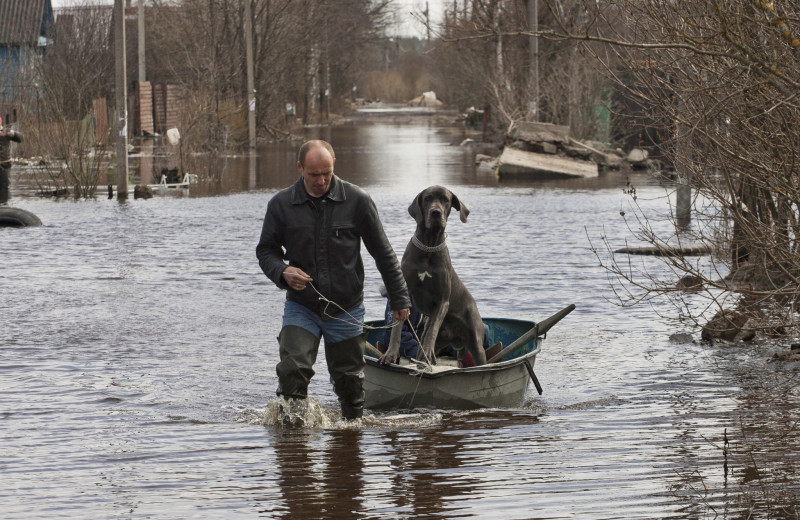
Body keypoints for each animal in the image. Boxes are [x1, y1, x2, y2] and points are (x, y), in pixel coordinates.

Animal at [380, 186, 488, 366]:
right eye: (427, 198)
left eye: (445, 199)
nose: (436, 212)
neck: (428, 246)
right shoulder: (404, 292)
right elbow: (397, 328)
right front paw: (390, 354)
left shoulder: (442, 301)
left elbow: (432, 330)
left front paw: (428, 355)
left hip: (476, 342)